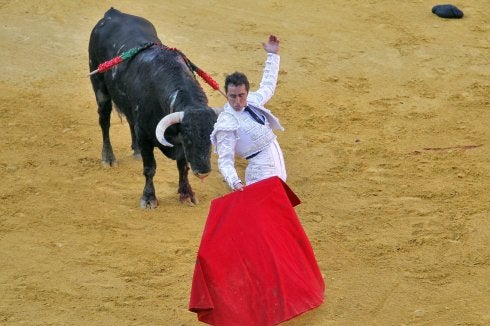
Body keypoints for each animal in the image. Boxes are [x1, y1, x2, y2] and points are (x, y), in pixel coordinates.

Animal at [88, 8, 218, 209]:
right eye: (188, 139)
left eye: (212, 139)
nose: (203, 172)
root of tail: (112, 13)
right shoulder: (146, 135)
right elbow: (150, 168)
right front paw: (149, 198)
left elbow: (183, 167)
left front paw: (186, 194)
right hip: (99, 86)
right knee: (104, 121)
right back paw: (108, 158)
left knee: (130, 121)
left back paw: (136, 151)